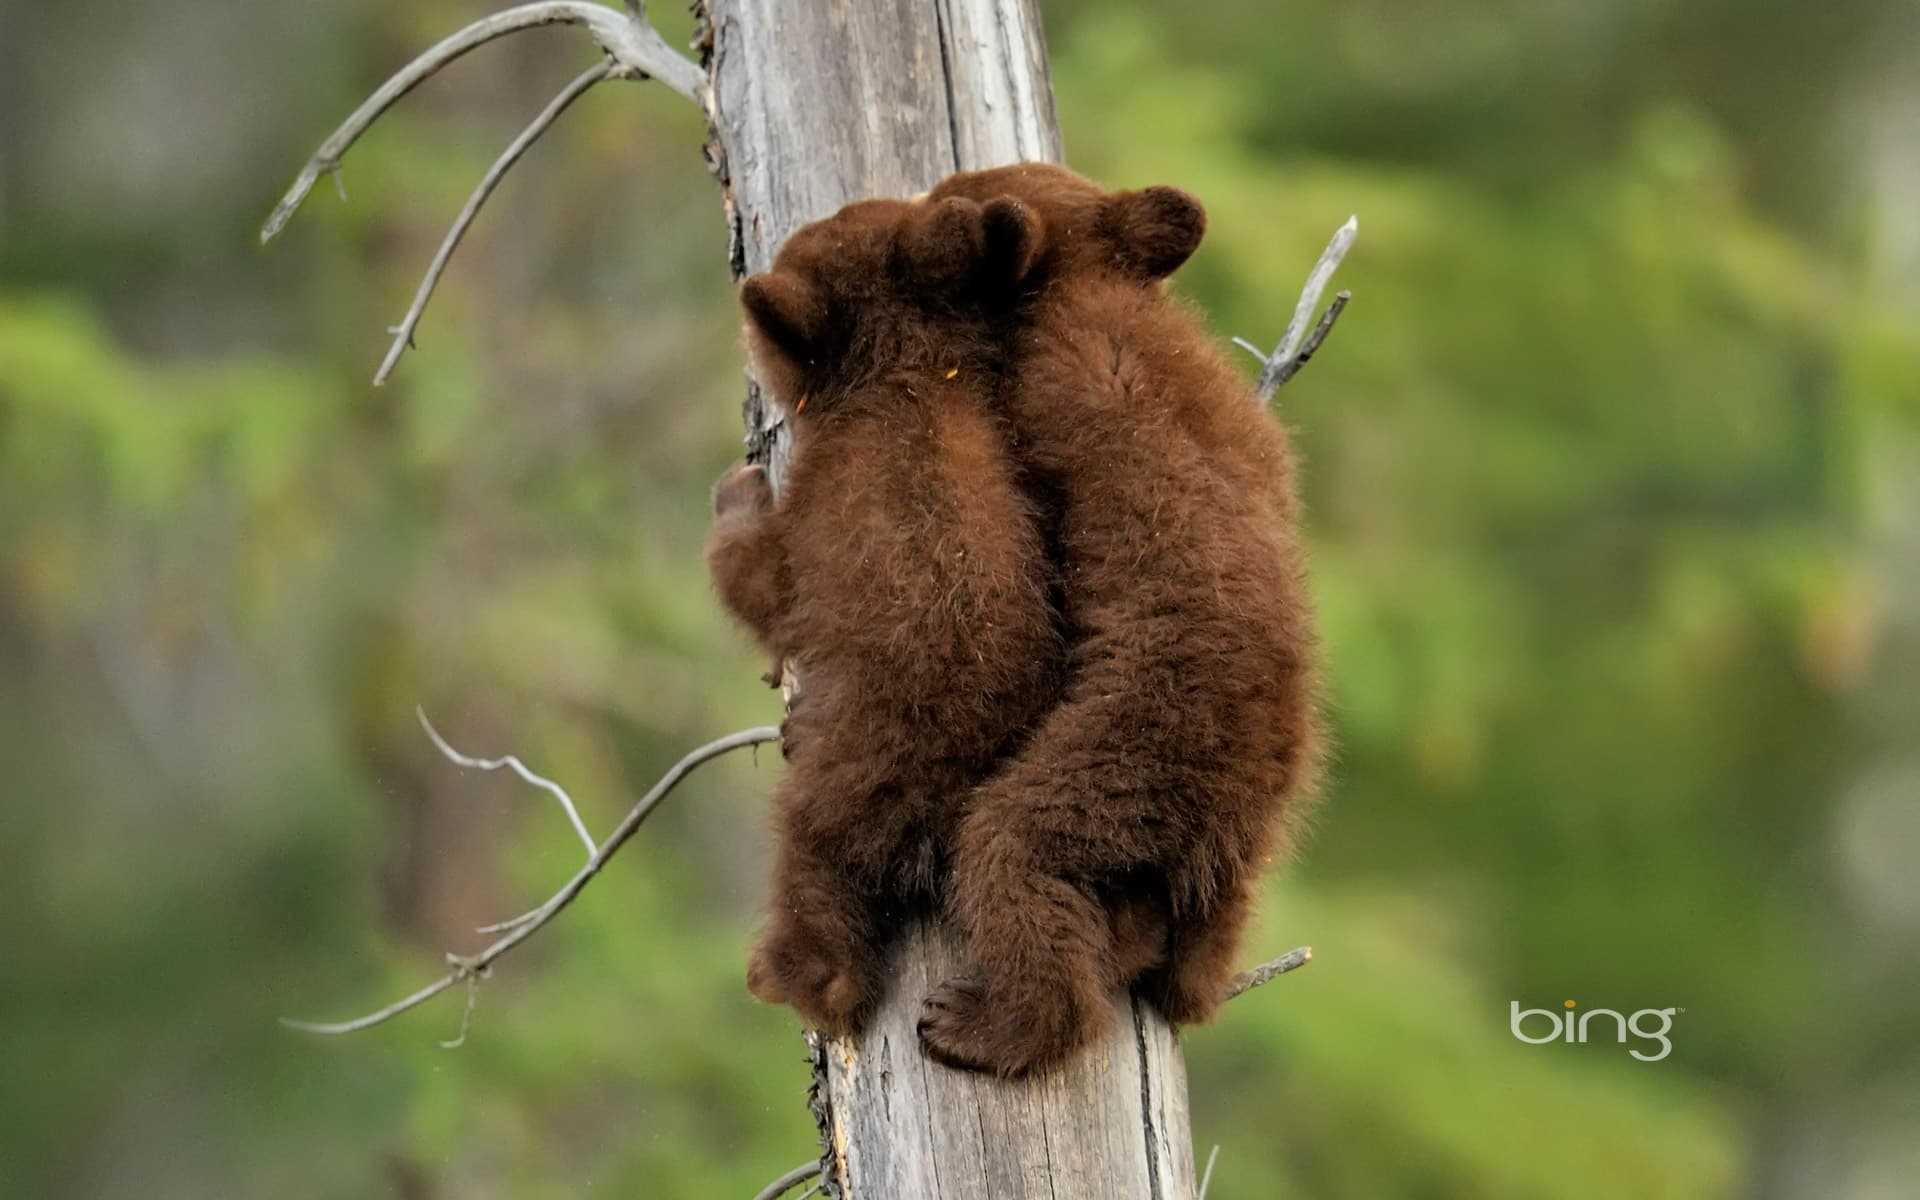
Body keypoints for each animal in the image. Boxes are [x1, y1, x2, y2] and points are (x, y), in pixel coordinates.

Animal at [705, 193, 1065, 1035]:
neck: (908, 378)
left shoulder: (820, 512)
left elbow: (763, 581)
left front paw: (736, 490)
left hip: (851, 778)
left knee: (816, 864)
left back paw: (793, 974)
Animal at [911, 163, 1326, 1076]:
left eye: (950, 191)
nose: (916, 198)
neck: (1091, 279)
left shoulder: (1064, 385)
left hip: (1123, 755)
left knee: (1012, 852)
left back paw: (984, 1021)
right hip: (1247, 845)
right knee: (1201, 939)